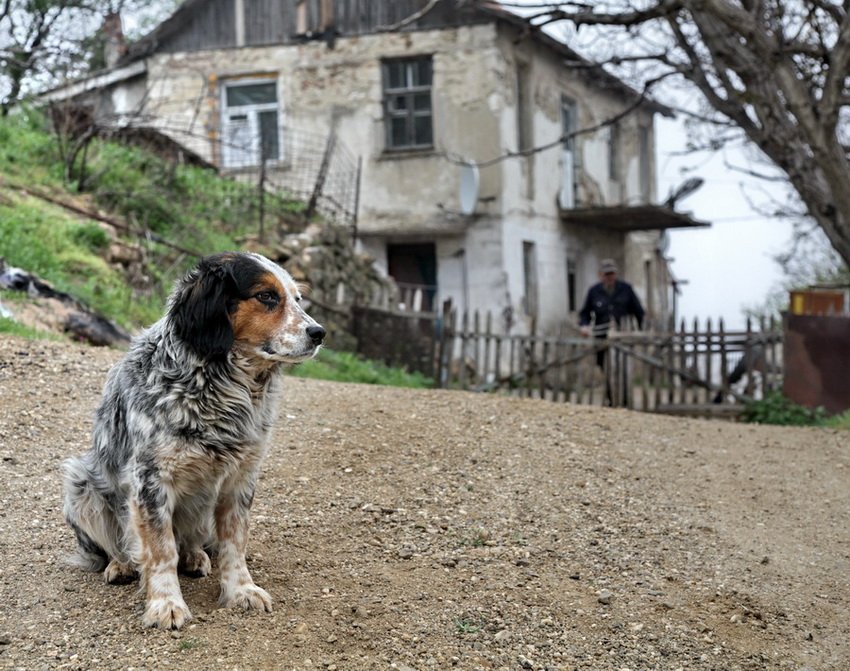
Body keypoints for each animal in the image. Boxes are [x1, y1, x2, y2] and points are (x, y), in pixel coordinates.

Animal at [62, 251, 324, 632]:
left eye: (298, 299)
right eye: (267, 296)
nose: (319, 333)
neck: (220, 386)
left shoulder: (240, 478)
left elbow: (234, 543)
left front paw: (241, 590)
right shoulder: (150, 481)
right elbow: (160, 550)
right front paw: (165, 604)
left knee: (191, 542)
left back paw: (194, 556)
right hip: (81, 481)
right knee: (114, 546)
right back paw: (121, 564)